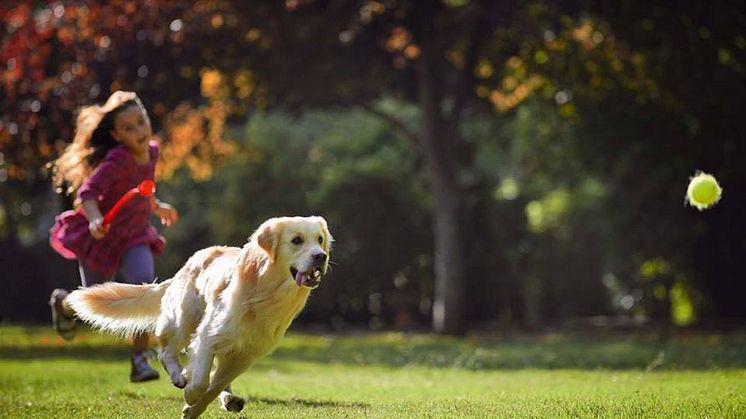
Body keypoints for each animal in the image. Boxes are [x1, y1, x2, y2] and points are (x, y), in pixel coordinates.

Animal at [69, 218, 332, 418]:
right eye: (296, 240)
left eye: (319, 240)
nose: (321, 256)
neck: (265, 294)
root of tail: (185, 267)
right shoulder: (209, 335)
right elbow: (203, 381)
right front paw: (190, 392)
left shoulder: (247, 355)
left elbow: (214, 385)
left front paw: (194, 408)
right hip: (184, 318)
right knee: (166, 352)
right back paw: (179, 375)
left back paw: (227, 398)